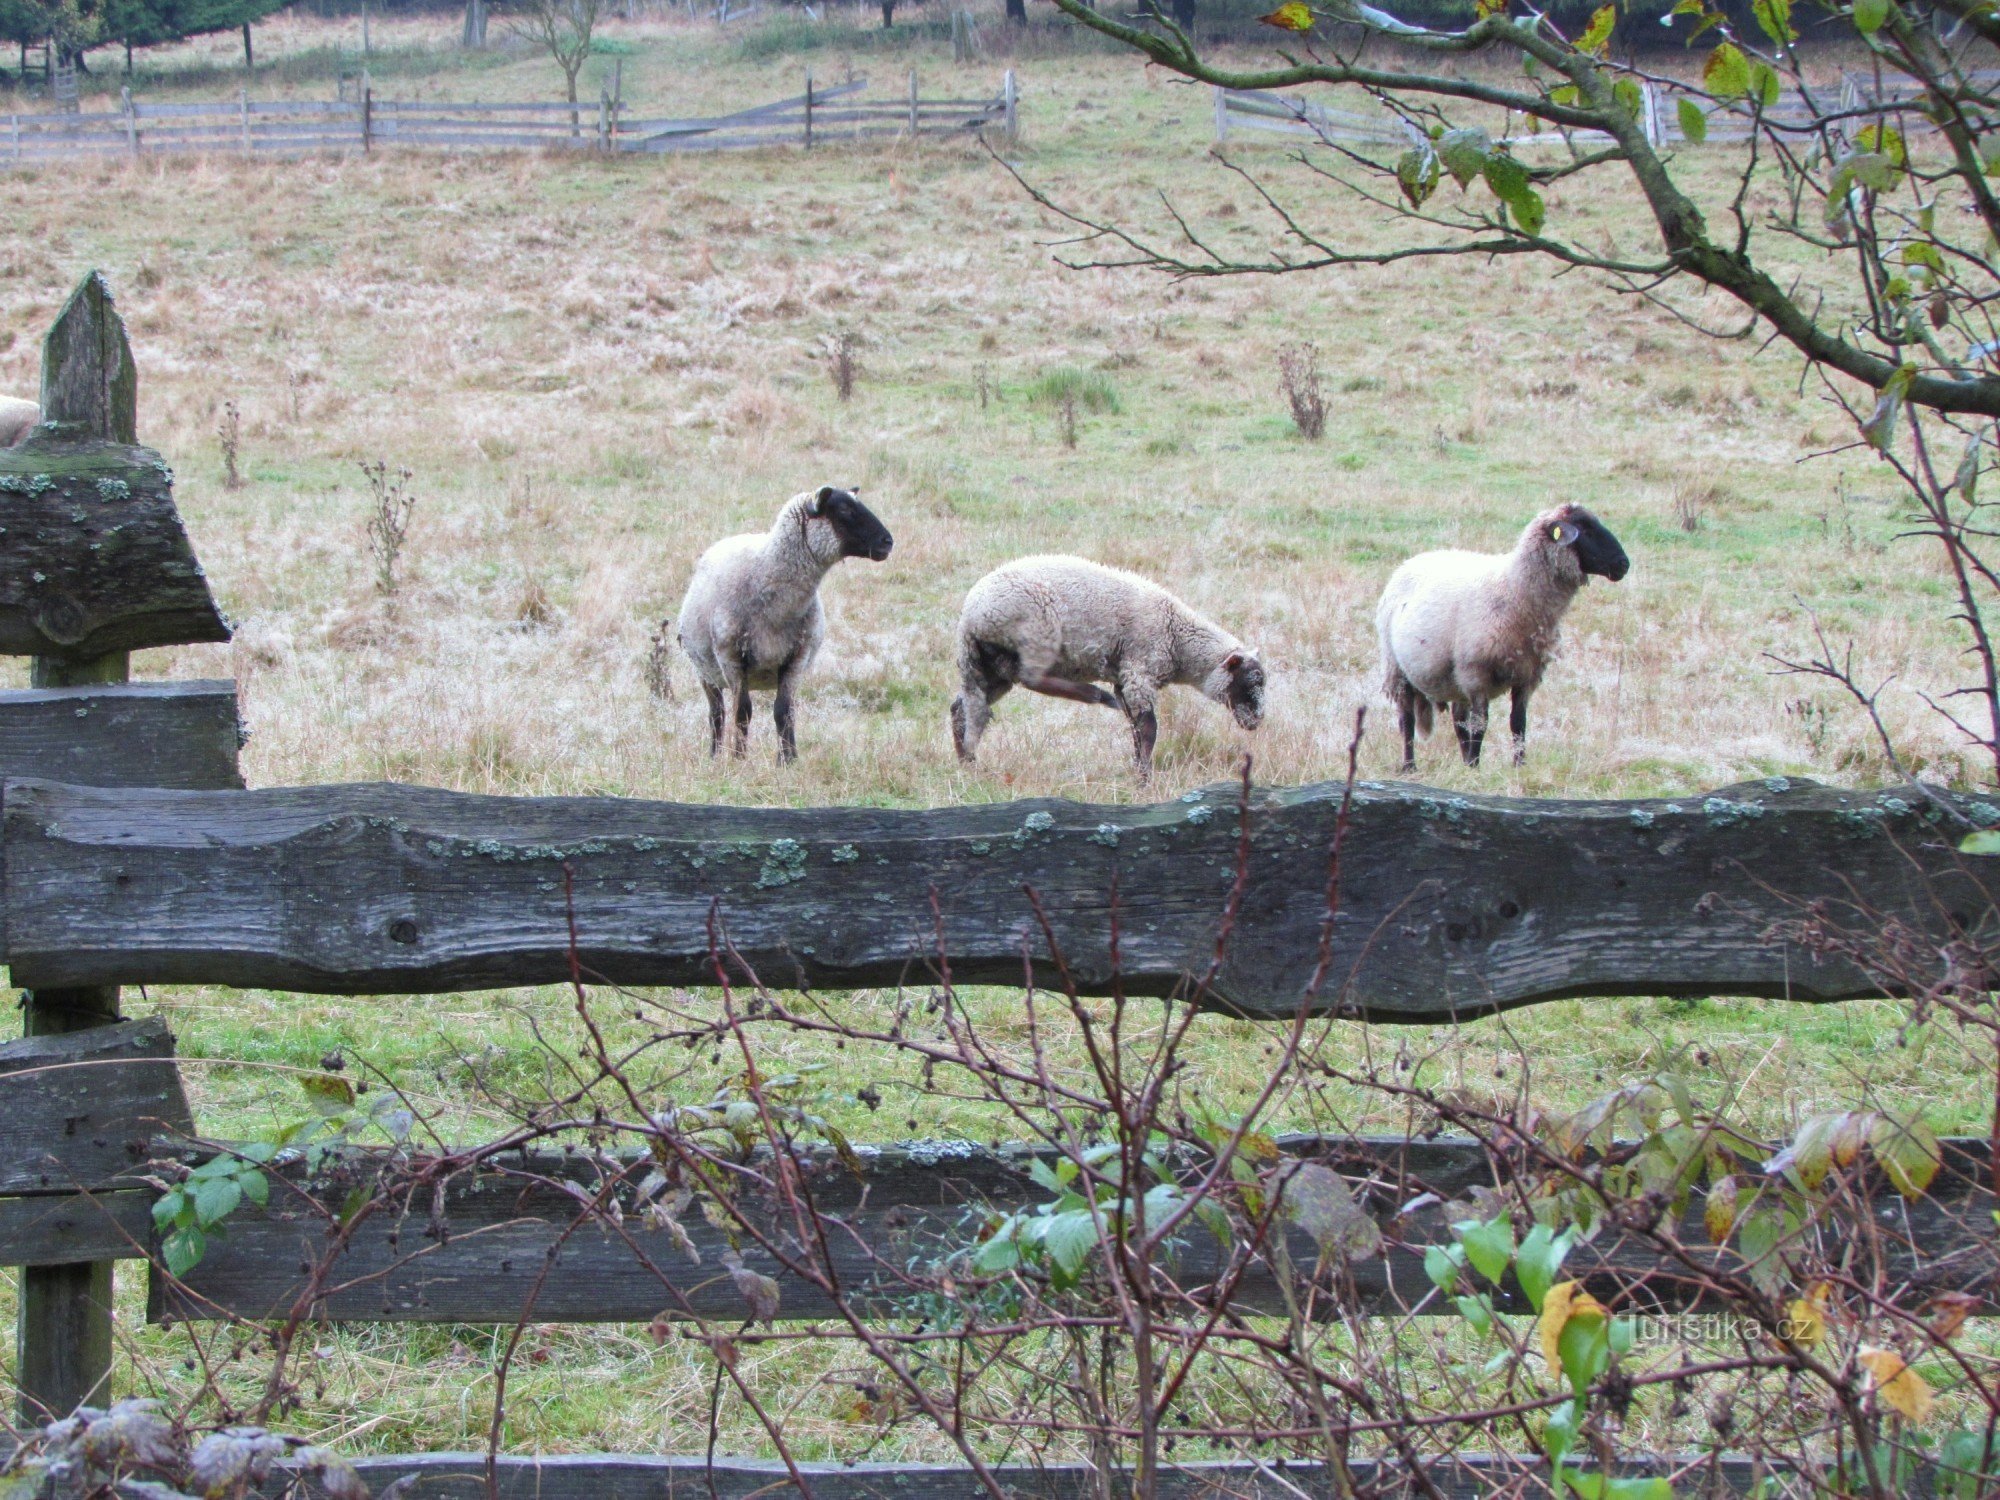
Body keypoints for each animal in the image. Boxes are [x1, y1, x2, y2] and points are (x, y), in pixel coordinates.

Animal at [672, 488, 892, 764]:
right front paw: (739, 759)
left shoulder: (797, 658)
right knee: (717, 714)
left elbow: (783, 711)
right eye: (844, 510)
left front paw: (788, 760)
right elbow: (742, 712)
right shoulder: (731, 658)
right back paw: (714, 756)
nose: (888, 542)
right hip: (705, 671)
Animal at [952, 556, 1264, 788]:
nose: (1256, 722)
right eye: (1250, 682)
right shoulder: (1140, 671)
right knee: (1032, 677)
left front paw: (1139, 769)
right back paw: (1094, 694)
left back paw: (967, 760)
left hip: (991, 667)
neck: (1179, 640)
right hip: (1036, 633)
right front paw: (1144, 780)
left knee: (964, 708)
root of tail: (970, 618)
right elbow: (1148, 727)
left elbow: (1136, 728)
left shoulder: (1124, 680)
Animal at [1384, 502, 1632, 768]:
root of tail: (1413, 559)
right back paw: (1410, 766)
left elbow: (1518, 723)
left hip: (1454, 678)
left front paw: (1517, 765)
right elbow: (1481, 724)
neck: (1514, 589)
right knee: (1407, 720)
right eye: (1585, 529)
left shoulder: (1526, 675)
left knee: (1458, 720)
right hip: (1398, 669)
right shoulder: (1476, 674)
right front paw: (1476, 768)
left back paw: (1463, 761)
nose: (1623, 564)